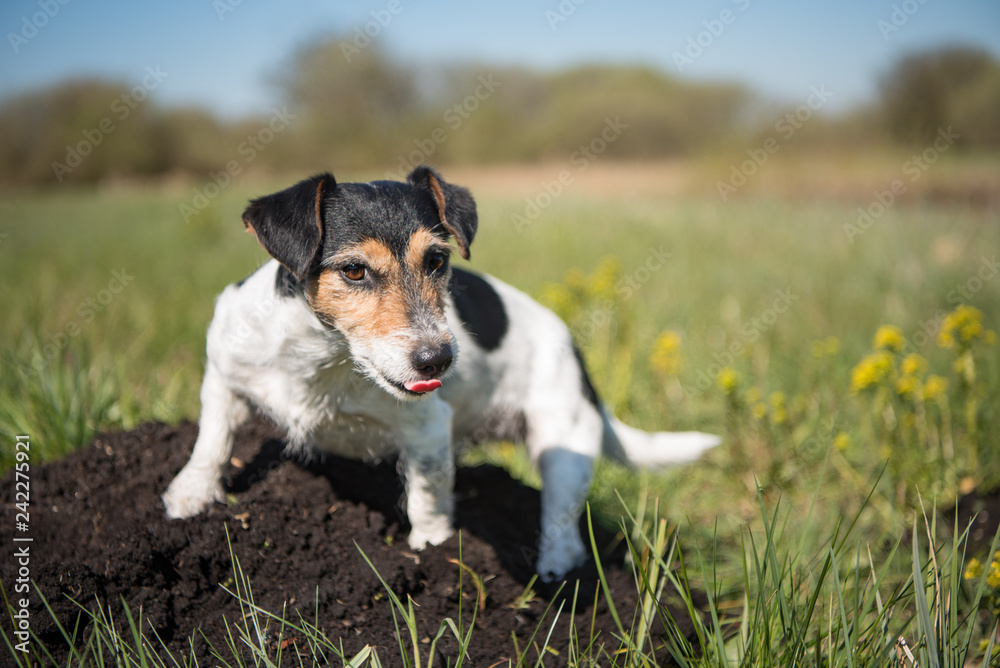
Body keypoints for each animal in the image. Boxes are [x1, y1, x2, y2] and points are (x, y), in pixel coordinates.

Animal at [164, 166, 720, 580]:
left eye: (436, 259)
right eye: (353, 270)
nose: (438, 360)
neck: (324, 357)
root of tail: (576, 352)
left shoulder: (428, 430)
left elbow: (428, 497)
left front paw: (429, 550)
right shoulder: (224, 375)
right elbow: (212, 440)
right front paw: (189, 497)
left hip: (564, 442)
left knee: (561, 519)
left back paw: (556, 568)